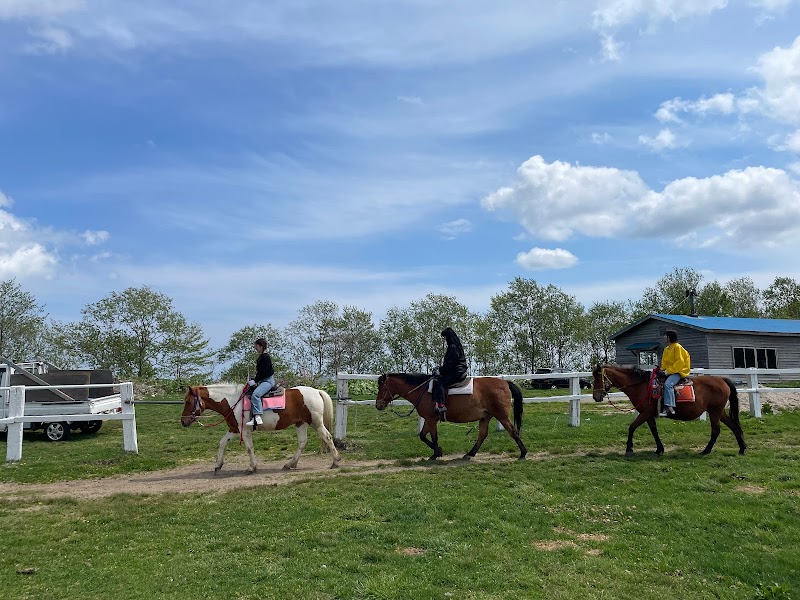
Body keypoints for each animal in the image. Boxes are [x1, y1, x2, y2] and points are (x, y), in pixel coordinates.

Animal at [180, 384, 340, 474]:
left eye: (188, 402)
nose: (183, 421)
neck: (234, 401)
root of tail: (317, 391)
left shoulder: (244, 431)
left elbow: (249, 448)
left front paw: (252, 468)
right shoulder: (234, 429)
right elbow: (222, 443)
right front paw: (218, 465)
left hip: (316, 422)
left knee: (327, 437)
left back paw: (335, 462)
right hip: (301, 423)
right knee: (302, 442)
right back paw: (290, 464)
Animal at [376, 372, 528, 462]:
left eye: (382, 388)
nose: (378, 405)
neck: (423, 391)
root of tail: (505, 383)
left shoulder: (431, 420)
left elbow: (433, 437)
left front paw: (437, 453)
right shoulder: (429, 420)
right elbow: (423, 436)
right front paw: (437, 452)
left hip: (502, 416)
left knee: (513, 432)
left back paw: (523, 453)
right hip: (486, 417)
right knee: (482, 435)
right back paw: (470, 453)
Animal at [592, 364, 748, 458]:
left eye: (598, 378)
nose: (596, 397)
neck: (642, 386)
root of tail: (722, 379)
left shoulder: (645, 413)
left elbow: (632, 427)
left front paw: (629, 448)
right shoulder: (649, 415)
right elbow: (654, 431)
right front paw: (659, 449)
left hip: (715, 412)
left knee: (716, 431)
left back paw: (706, 451)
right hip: (719, 412)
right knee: (734, 426)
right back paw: (741, 449)